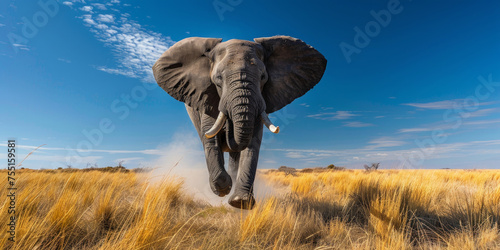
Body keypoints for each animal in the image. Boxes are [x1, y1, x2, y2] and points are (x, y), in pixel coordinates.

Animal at [150, 35, 326, 209]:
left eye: (263, 77)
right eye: (218, 79)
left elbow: (253, 143)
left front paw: (240, 202)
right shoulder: (207, 97)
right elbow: (211, 139)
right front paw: (223, 188)